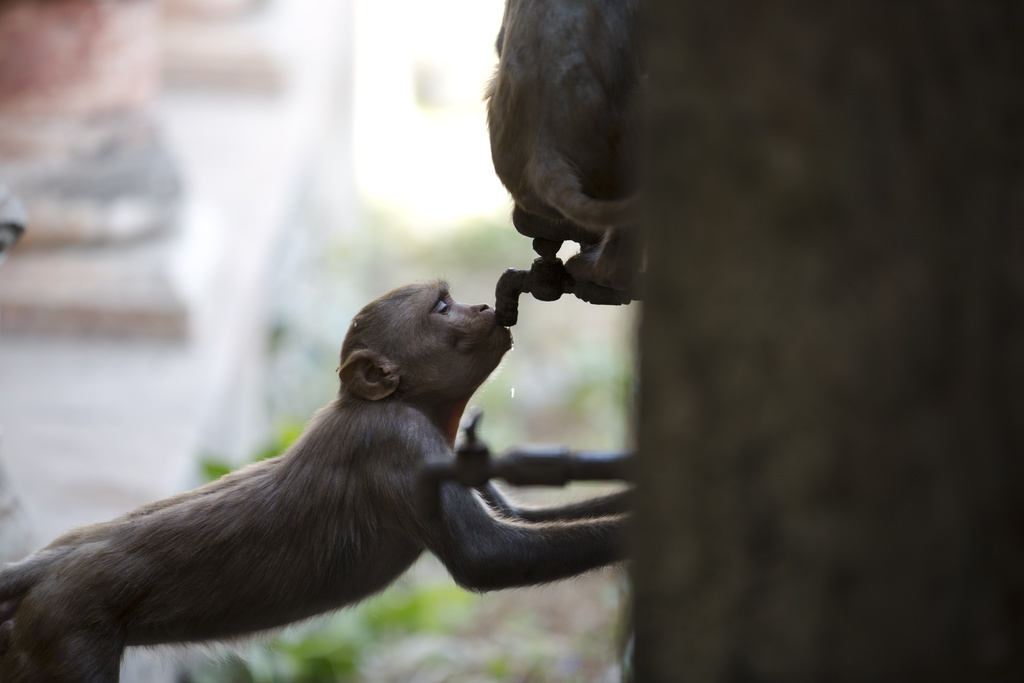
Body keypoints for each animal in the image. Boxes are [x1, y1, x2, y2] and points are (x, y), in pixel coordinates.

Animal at [0, 280, 630, 679]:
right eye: (442, 306)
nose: (484, 306)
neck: (409, 403)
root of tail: (48, 565)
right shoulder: (398, 442)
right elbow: (487, 556)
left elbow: (520, 518)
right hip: (68, 631)